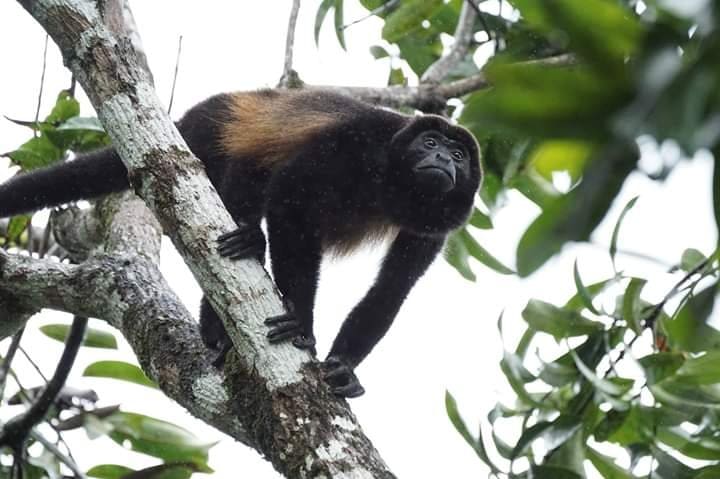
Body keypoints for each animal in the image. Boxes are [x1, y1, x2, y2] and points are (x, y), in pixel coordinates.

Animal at [0, 89, 481, 398]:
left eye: (459, 157)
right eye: (430, 142)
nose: (443, 158)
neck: (392, 184)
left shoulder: (437, 228)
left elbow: (391, 289)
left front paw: (343, 367)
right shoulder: (364, 139)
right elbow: (291, 192)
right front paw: (301, 318)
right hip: (207, 135)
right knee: (244, 176)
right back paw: (237, 277)